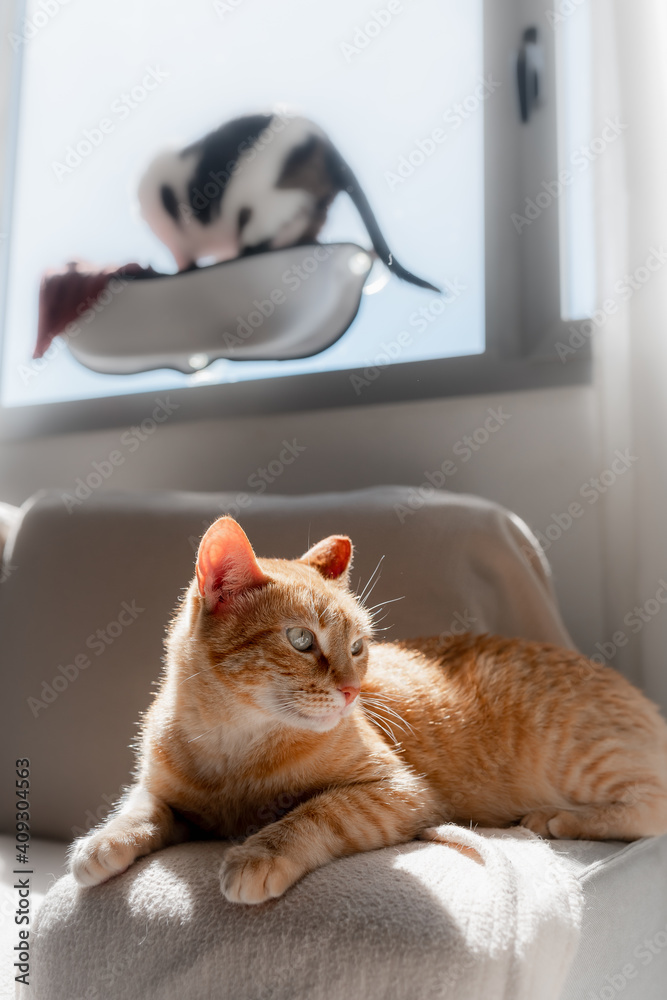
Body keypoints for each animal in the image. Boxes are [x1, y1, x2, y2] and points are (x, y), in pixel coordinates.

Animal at [72, 520, 667, 904]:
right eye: (301, 640)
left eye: (358, 646)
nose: (354, 690)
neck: (232, 746)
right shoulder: (166, 796)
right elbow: (140, 809)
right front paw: (103, 842)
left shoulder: (397, 792)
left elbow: (314, 813)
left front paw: (259, 854)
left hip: (582, 758)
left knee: (652, 806)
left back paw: (555, 819)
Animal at [138, 114, 440, 292]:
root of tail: (330, 154)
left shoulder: (179, 241)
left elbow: (184, 265)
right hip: (311, 208)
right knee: (304, 232)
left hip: (265, 201)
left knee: (256, 241)